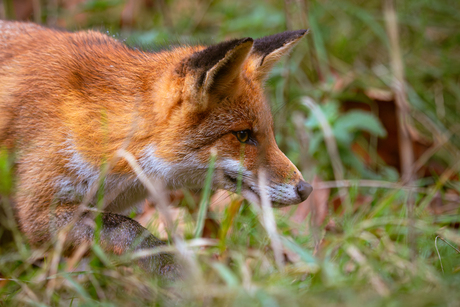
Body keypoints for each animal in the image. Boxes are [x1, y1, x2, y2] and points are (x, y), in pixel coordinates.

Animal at [0, 20, 312, 278]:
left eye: (269, 133)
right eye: (243, 135)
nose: (306, 189)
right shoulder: (39, 212)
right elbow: (131, 231)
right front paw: (179, 273)